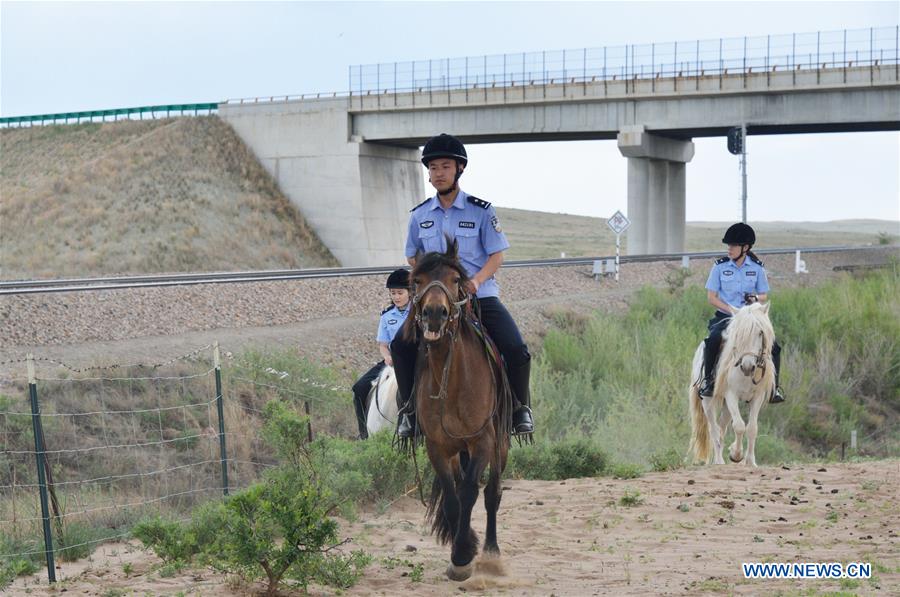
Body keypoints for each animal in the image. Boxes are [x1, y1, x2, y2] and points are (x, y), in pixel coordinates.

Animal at [400, 240, 512, 580]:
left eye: (454, 279)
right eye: (418, 280)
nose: (435, 314)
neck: (452, 379)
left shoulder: (483, 441)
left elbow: (471, 493)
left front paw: (463, 554)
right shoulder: (437, 447)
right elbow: (452, 500)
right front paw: (461, 552)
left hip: (501, 443)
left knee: (492, 494)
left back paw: (491, 553)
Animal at [692, 302, 776, 466]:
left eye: (760, 333)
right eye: (738, 334)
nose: (748, 367)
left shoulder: (758, 396)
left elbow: (752, 428)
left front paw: (750, 461)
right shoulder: (731, 394)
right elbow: (739, 426)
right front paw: (736, 455)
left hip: (726, 407)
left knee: (721, 428)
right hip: (708, 402)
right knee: (714, 429)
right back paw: (719, 461)